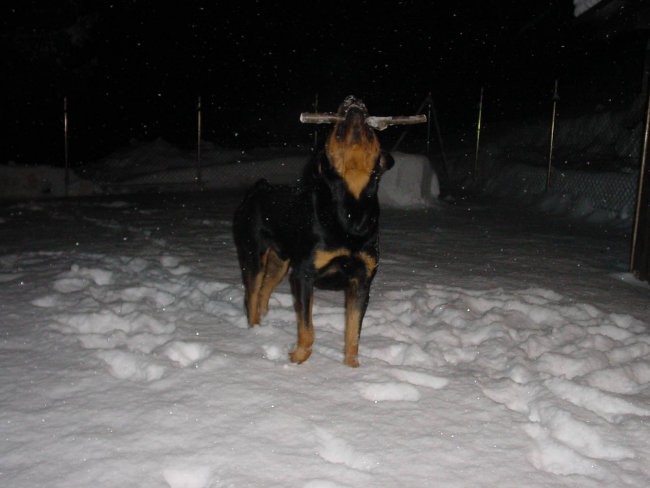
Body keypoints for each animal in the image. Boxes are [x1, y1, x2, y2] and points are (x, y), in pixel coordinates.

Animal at [234, 96, 394, 366]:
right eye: (332, 127)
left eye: (371, 129)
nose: (353, 101)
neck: (350, 211)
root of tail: (258, 188)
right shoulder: (303, 275)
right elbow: (307, 329)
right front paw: (298, 358)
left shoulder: (361, 282)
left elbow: (353, 333)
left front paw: (352, 367)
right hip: (254, 256)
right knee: (252, 295)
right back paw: (255, 332)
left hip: (280, 263)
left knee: (265, 289)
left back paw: (264, 322)